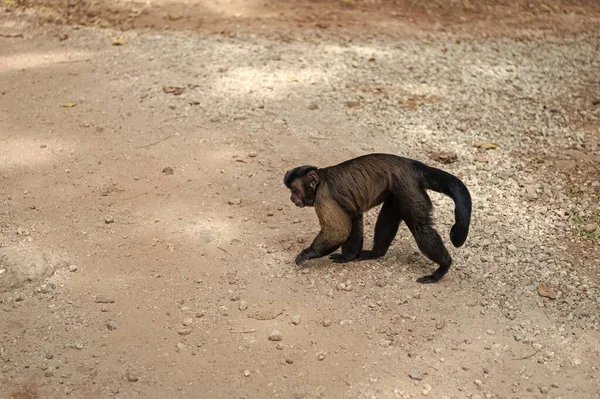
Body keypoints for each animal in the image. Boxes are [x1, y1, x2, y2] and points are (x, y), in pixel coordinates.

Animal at [284, 153, 472, 284]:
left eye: (294, 190)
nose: (291, 198)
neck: (320, 181)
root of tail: (413, 165)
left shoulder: (323, 197)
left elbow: (338, 230)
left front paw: (309, 253)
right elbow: (353, 220)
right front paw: (348, 257)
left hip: (408, 187)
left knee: (421, 228)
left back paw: (443, 266)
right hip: (398, 192)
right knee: (389, 217)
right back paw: (376, 253)